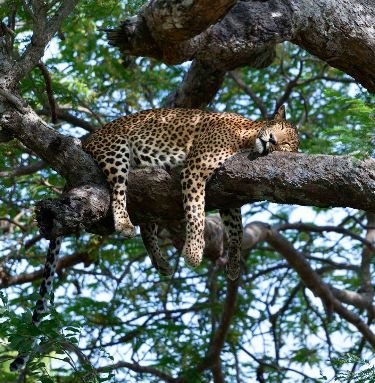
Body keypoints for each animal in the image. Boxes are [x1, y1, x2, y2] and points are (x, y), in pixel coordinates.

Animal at [10, 105, 302, 372]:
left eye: (287, 145)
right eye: (280, 129)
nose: (271, 141)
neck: (246, 134)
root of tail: (87, 139)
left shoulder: (229, 196)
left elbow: (237, 229)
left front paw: (233, 264)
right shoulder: (197, 165)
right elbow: (196, 210)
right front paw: (194, 251)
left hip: (147, 193)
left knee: (146, 225)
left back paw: (159, 260)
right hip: (117, 149)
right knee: (118, 191)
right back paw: (124, 223)